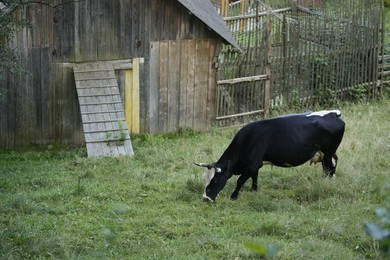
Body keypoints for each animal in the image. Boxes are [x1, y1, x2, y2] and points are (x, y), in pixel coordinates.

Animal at [194, 108, 344, 202]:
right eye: (204, 180)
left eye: (214, 181)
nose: (205, 199)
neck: (247, 139)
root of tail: (333, 113)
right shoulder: (255, 165)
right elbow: (254, 177)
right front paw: (254, 190)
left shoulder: (252, 164)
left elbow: (240, 181)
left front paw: (234, 196)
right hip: (329, 153)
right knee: (332, 163)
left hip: (328, 152)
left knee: (329, 167)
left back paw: (328, 182)